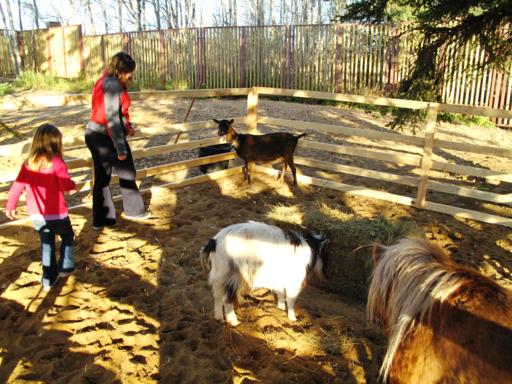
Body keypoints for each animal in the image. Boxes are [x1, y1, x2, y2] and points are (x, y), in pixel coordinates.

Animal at [200, 220, 328, 326]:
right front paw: (292, 318)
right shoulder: (294, 282)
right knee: (227, 300)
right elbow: (291, 299)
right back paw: (234, 322)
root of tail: (214, 243)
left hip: (221, 275)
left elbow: (281, 293)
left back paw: (219, 318)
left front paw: (280, 308)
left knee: (217, 296)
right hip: (231, 276)